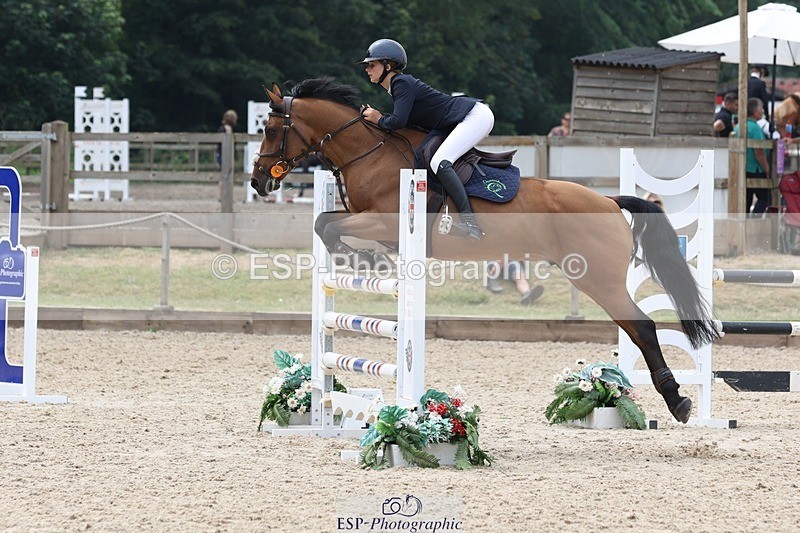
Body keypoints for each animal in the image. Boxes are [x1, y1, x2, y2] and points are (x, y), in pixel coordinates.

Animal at [251, 77, 719, 423]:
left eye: (271, 131)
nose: (258, 182)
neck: (370, 152)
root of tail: (607, 201)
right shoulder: (370, 221)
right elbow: (325, 223)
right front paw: (364, 258)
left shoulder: (384, 220)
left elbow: (327, 225)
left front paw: (366, 259)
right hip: (594, 277)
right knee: (635, 327)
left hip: (597, 278)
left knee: (643, 326)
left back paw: (678, 401)